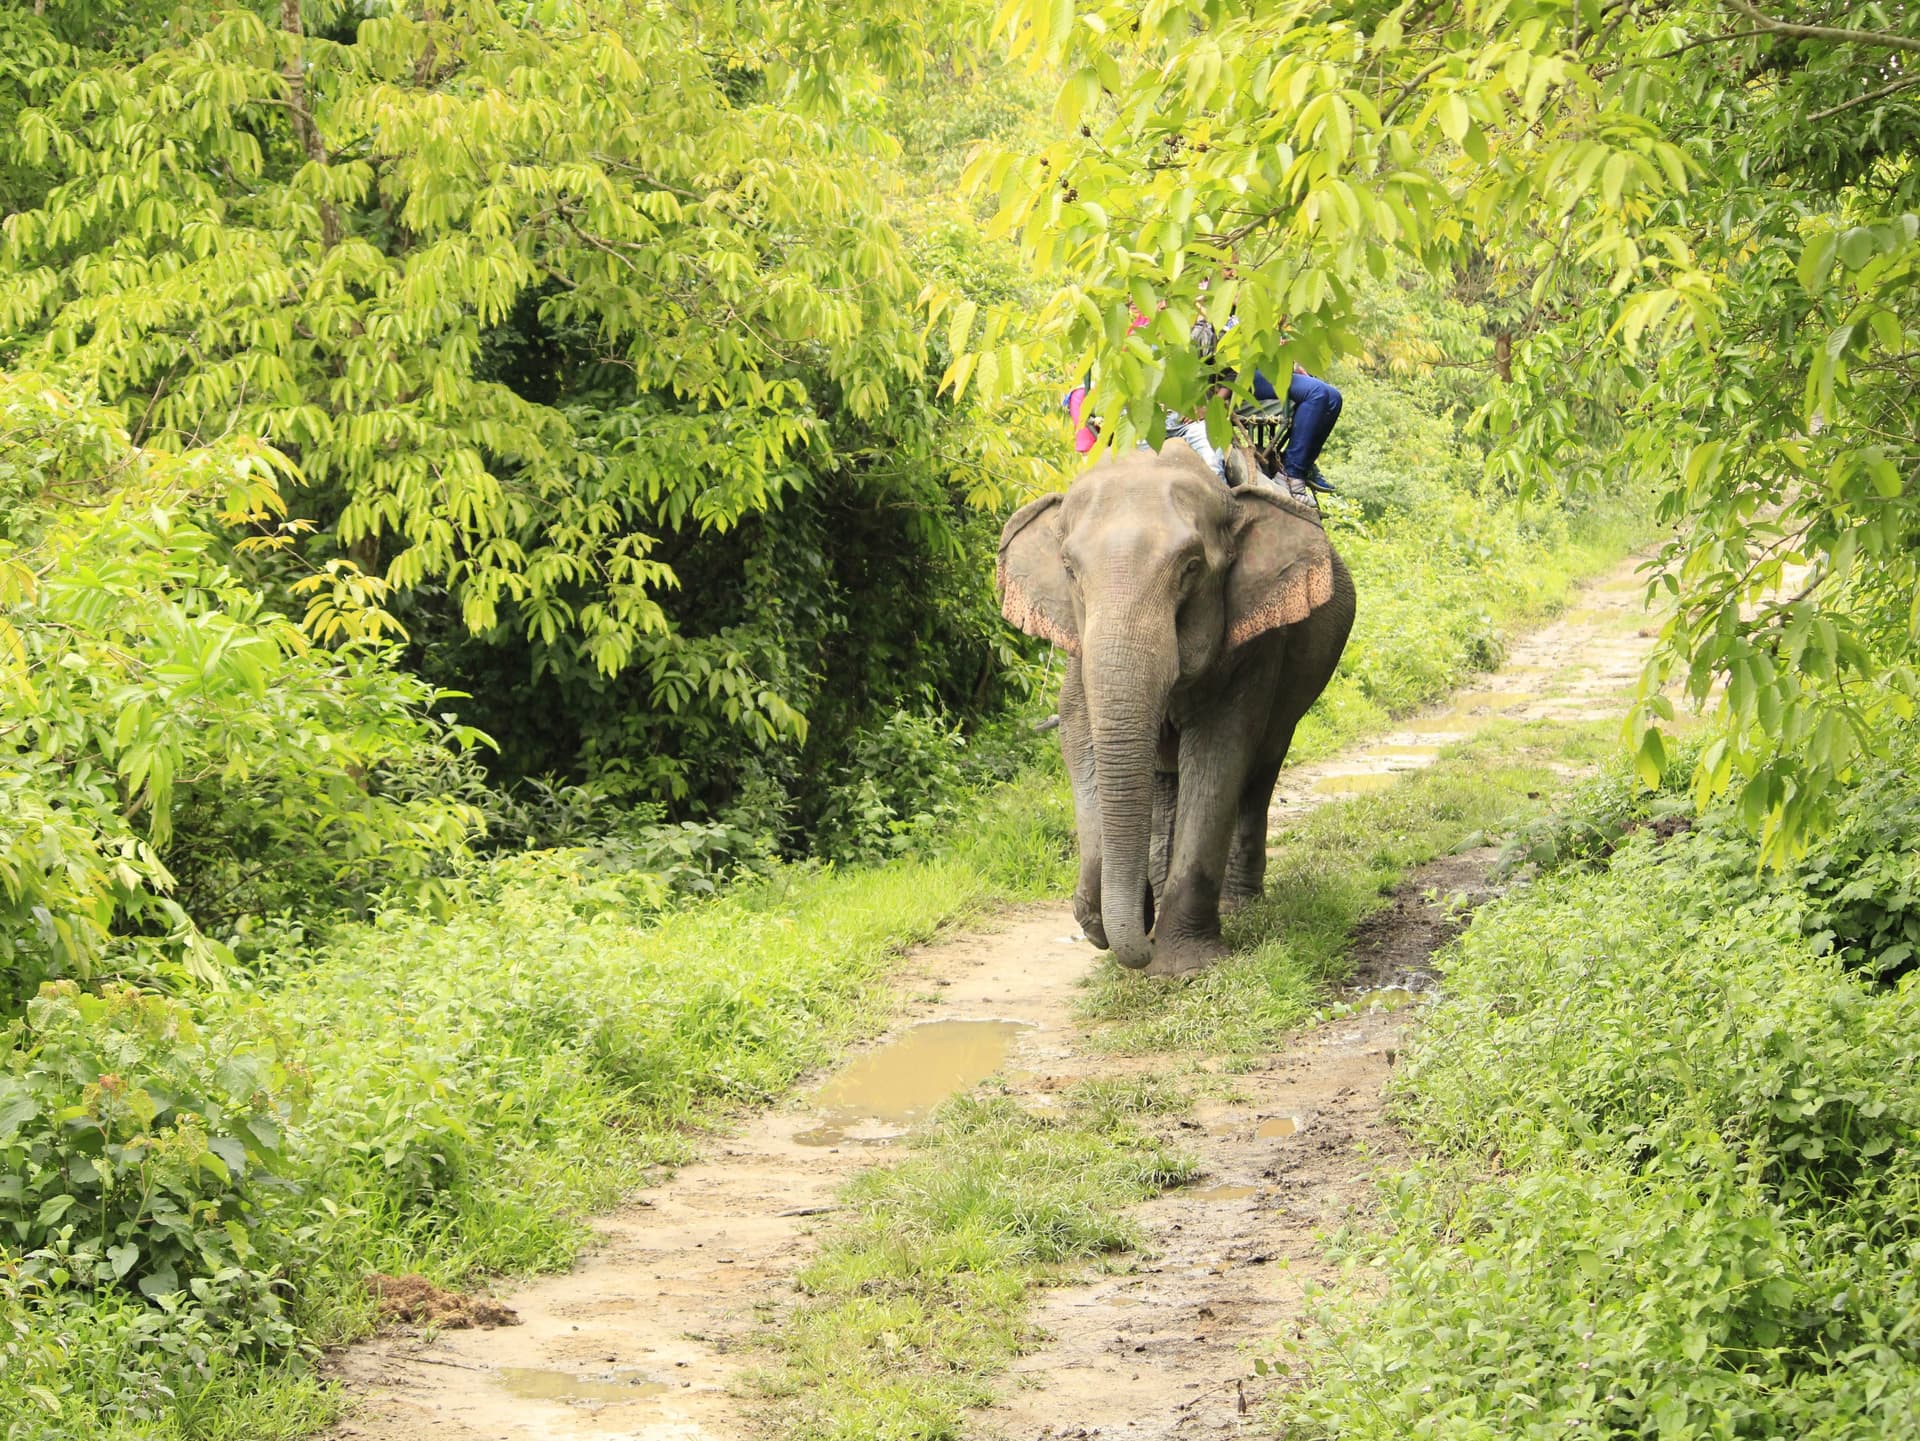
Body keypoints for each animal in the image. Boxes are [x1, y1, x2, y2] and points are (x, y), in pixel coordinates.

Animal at [997, 443, 1355, 976]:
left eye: (1190, 568)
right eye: (1070, 571)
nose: (1134, 936)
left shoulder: (1252, 643)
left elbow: (1217, 753)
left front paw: (1182, 966)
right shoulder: (1077, 650)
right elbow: (1079, 738)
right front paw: (1108, 916)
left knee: (1261, 768)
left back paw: (1239, 905)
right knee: (1169, 780)